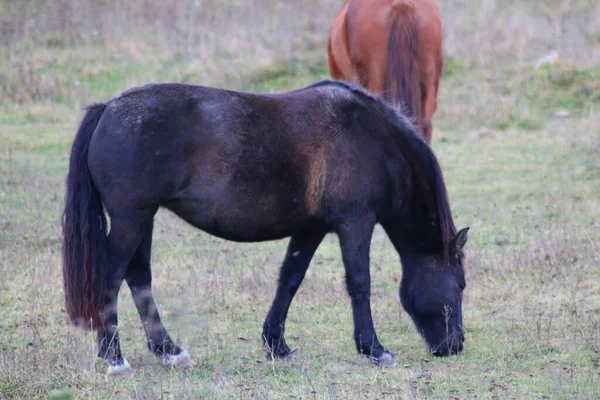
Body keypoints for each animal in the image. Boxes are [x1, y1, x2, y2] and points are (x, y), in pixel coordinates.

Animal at [63, 80, 472, 376]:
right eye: (461, 284)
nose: (455, 347)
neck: (372, 139)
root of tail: (107, 109)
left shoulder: (311, 228)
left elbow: (290, 279)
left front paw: (276, 344)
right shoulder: (355, 223)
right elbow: (359, 283)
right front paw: (374, 349)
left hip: (142, 219)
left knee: (139, 277)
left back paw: (169, 350)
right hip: (131, 219)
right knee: (112, 278)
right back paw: (113, 357)